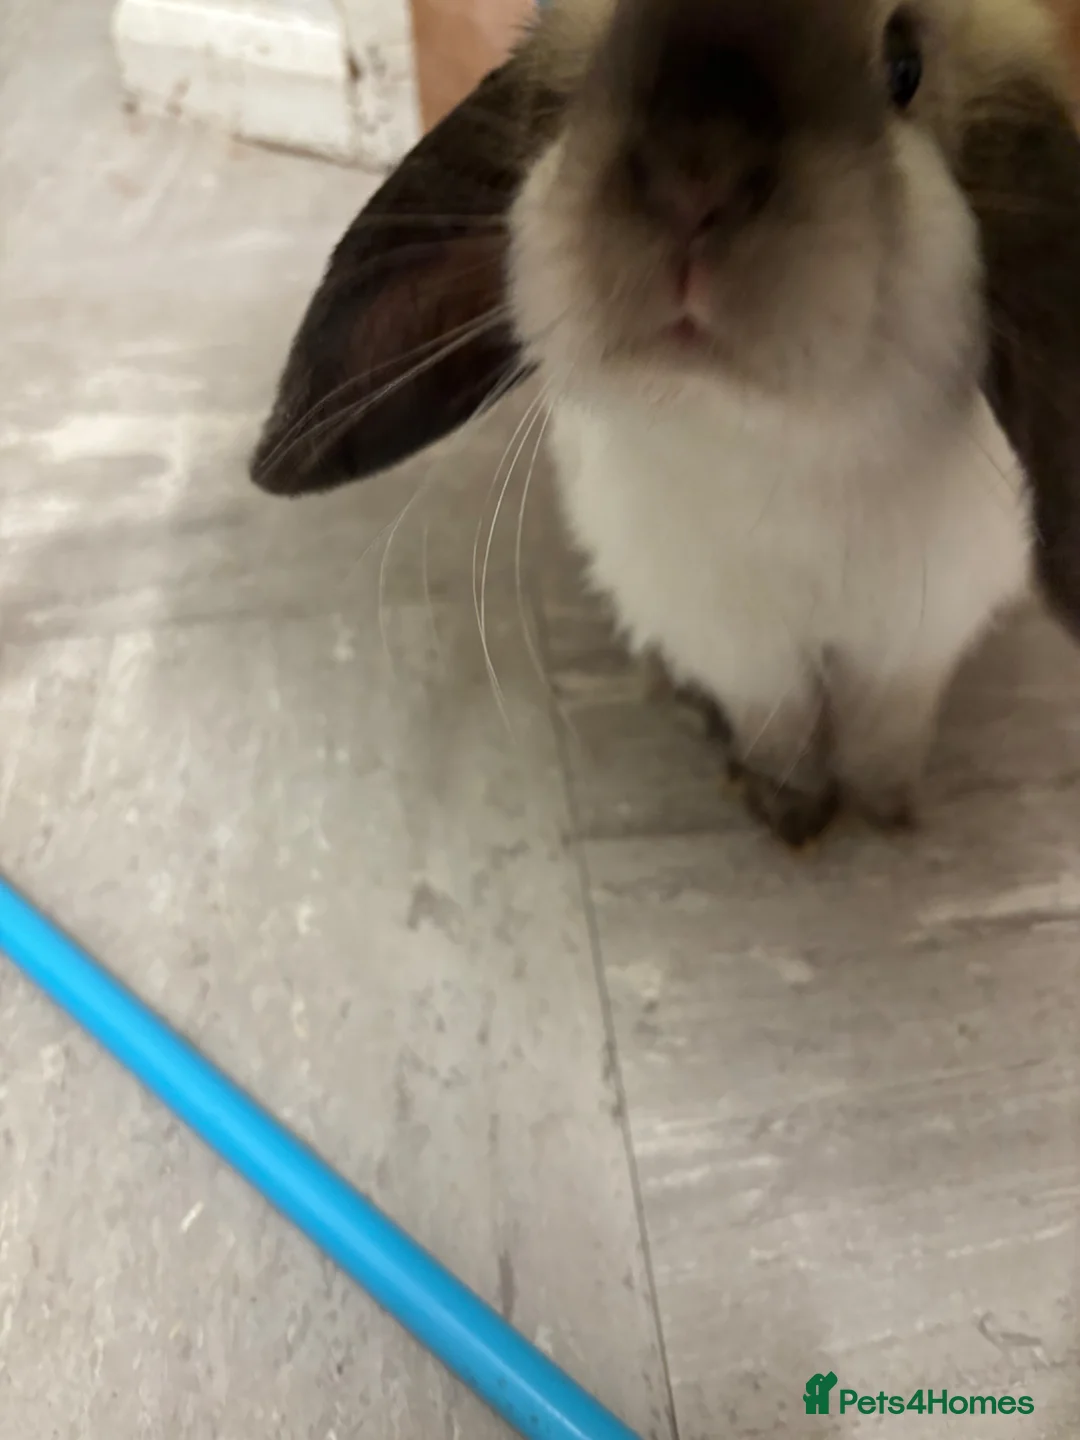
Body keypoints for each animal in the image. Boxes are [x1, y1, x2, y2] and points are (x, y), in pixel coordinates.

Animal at [250, 0, 1080, 846]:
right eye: (601, 59)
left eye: (905, 68)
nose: (694, 182)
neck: (768, 445)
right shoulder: (735, 641)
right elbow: (780, 728)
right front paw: (789, 815)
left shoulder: (908, 646)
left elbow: (883, 735)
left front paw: (888, 818)